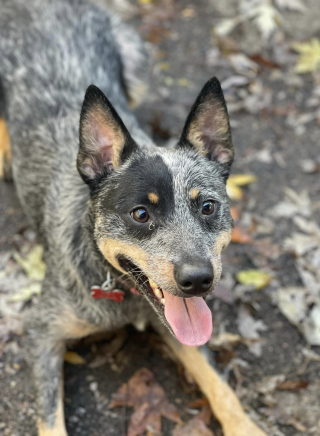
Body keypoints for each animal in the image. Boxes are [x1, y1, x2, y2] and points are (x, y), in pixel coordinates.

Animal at [0, 0, 264, 436]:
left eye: (207, 207)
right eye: (140, 214)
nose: (198, 279)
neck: (124, 296)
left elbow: (220, 386)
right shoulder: (40, 329)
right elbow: (50, 417)